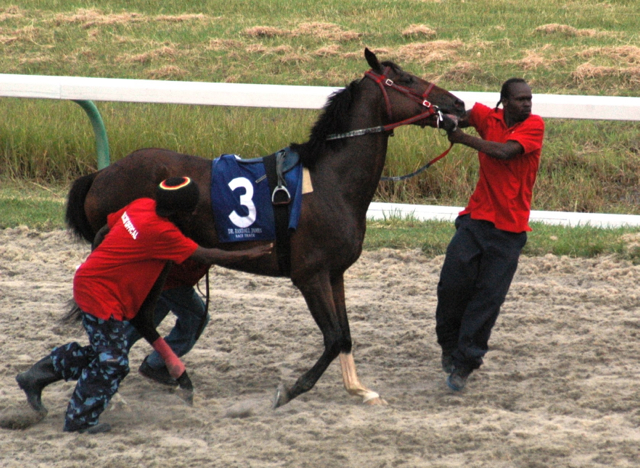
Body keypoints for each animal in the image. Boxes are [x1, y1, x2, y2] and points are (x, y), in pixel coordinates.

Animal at [65, 49, 464, 408]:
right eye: (406, 79)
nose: (458, 104)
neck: (329, 181)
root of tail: (101, 174)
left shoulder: (335, 273)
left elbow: (347, 336)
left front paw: (360, 390)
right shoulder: (310, 275)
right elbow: (334, 338)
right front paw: (290, 390)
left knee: (139, 319)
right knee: (131, 317)